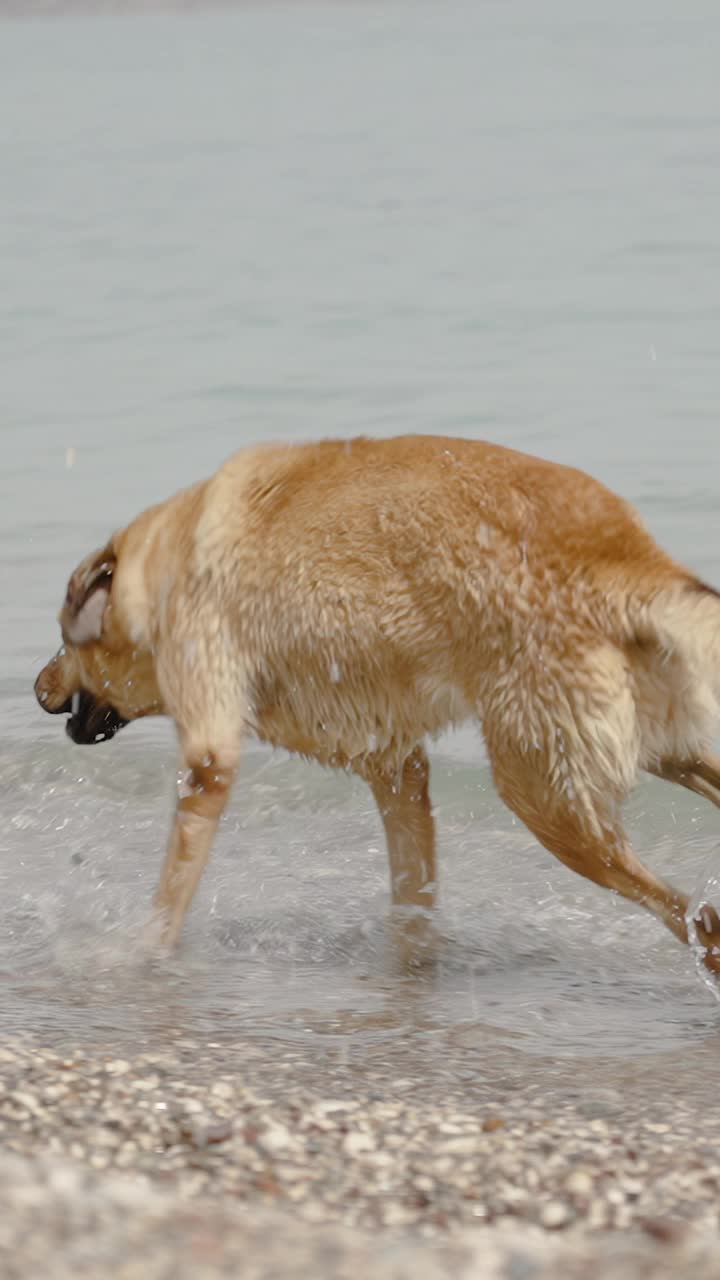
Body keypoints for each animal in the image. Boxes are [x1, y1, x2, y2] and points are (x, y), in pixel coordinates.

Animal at [33, 435, 720, 962]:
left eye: (64, 640)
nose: (37, 690)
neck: (165, 568)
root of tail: (623, 562)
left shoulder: (210, 755)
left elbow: (175, 885)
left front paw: (144, 951)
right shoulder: (394, 766)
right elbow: (411, 884)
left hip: (547, 796)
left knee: (690, 915)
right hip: (663, 752)